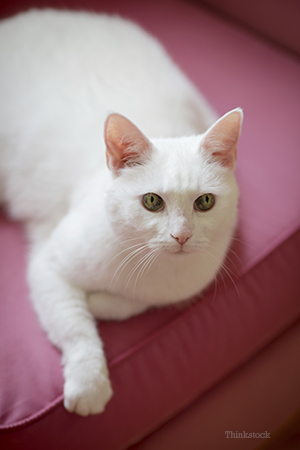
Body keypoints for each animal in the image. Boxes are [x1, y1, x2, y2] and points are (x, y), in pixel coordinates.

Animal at [0, 8, 241, 414]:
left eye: (205, 202)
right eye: (152, 201)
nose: (181, 235)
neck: (149, 268)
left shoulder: (175, 290)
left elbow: (131, 306)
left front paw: (99, 302)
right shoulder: (48, 266)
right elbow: (75, 327)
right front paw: (89, 384)